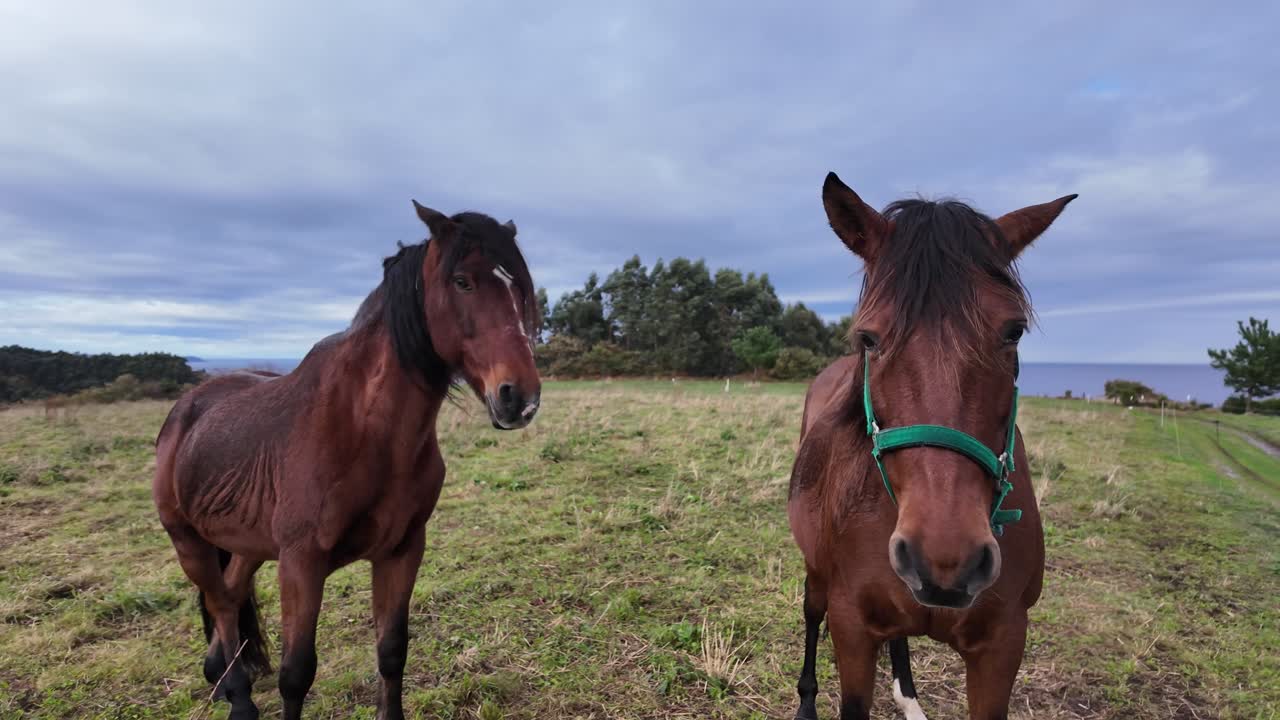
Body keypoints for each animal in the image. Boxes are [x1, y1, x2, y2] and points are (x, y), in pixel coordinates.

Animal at [152, 202, 541, 720]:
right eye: (463, 281)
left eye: (518, 287)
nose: (520, 397)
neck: (365, 431)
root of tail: (187, 408)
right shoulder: (301, 563)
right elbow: (296, 675)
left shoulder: (402, 549)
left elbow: (392, 650)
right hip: (189, 543)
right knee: (219, 604)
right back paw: (238, 697)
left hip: (246, 545)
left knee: (231, 599)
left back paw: (222, 679)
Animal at [788, 172, 1075, 720]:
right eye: (870, 337)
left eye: (1014, 331)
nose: (945, 559)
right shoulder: (851, 627)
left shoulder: (1002, 645)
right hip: (816, 574)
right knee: (811, 614)